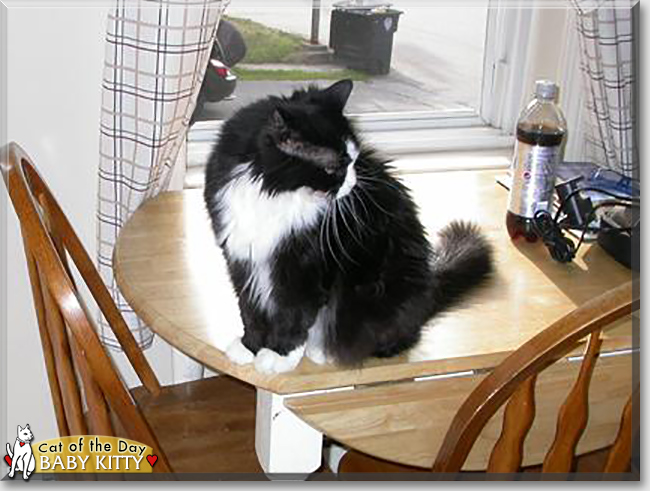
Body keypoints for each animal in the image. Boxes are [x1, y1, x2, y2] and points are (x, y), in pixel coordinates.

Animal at [204, 80, 492, 372]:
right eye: (334, 169)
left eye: (354, 161)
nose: (353, 184)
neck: (269, 192)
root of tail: (430, 281)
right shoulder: (241, 258)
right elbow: (250, 309)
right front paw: (249, 347)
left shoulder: (303, 267)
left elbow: (292, 315)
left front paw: (279, 355)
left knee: (401, 335)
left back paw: (325, 351)